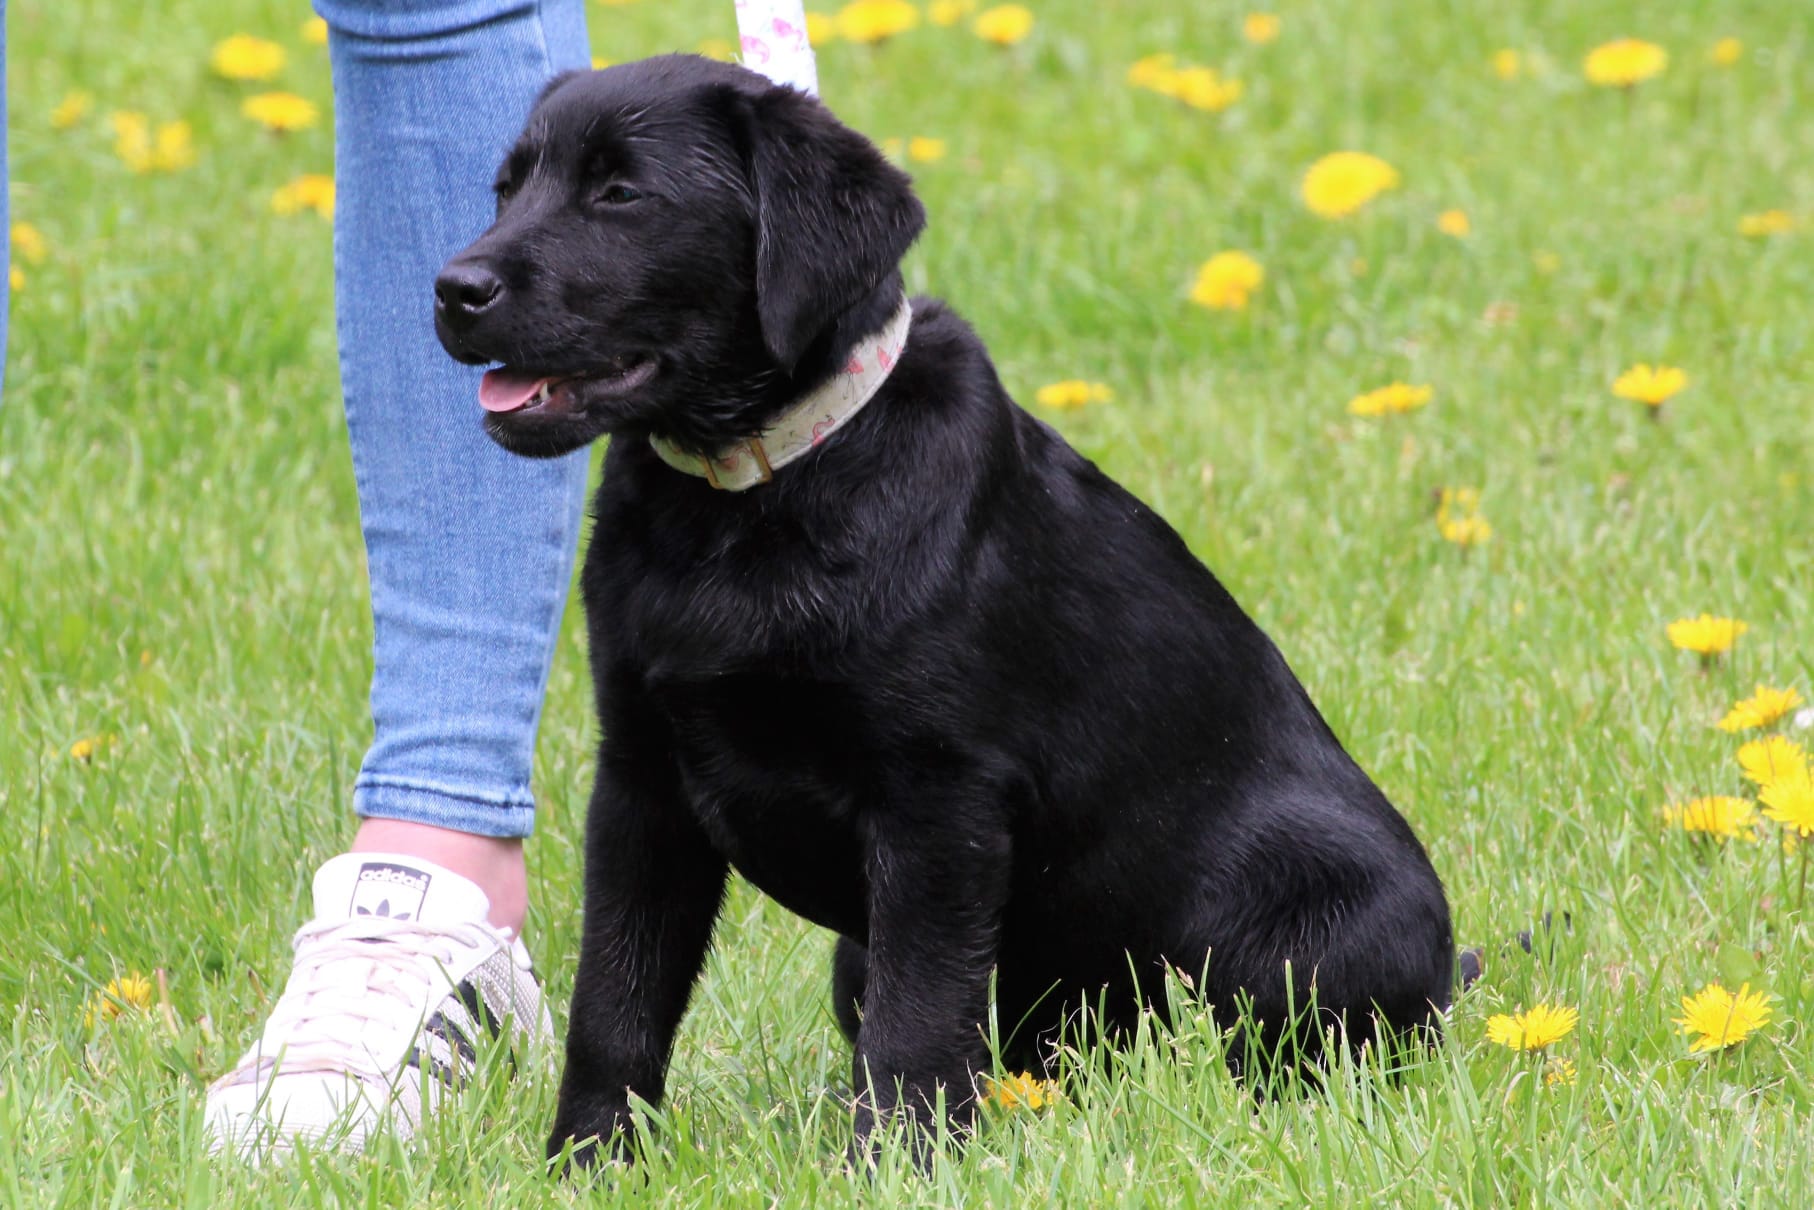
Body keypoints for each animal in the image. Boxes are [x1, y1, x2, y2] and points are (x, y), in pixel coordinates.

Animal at [431, 54, 1451, 1161]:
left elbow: (917, 1013)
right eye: (506, 189)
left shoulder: (936, 801)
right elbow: (616, 998)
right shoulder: (640, 783)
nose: (453, 288)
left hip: (1306, 900)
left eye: (621, 193)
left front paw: (897, 1162)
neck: (756, 489)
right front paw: (590, 1161)